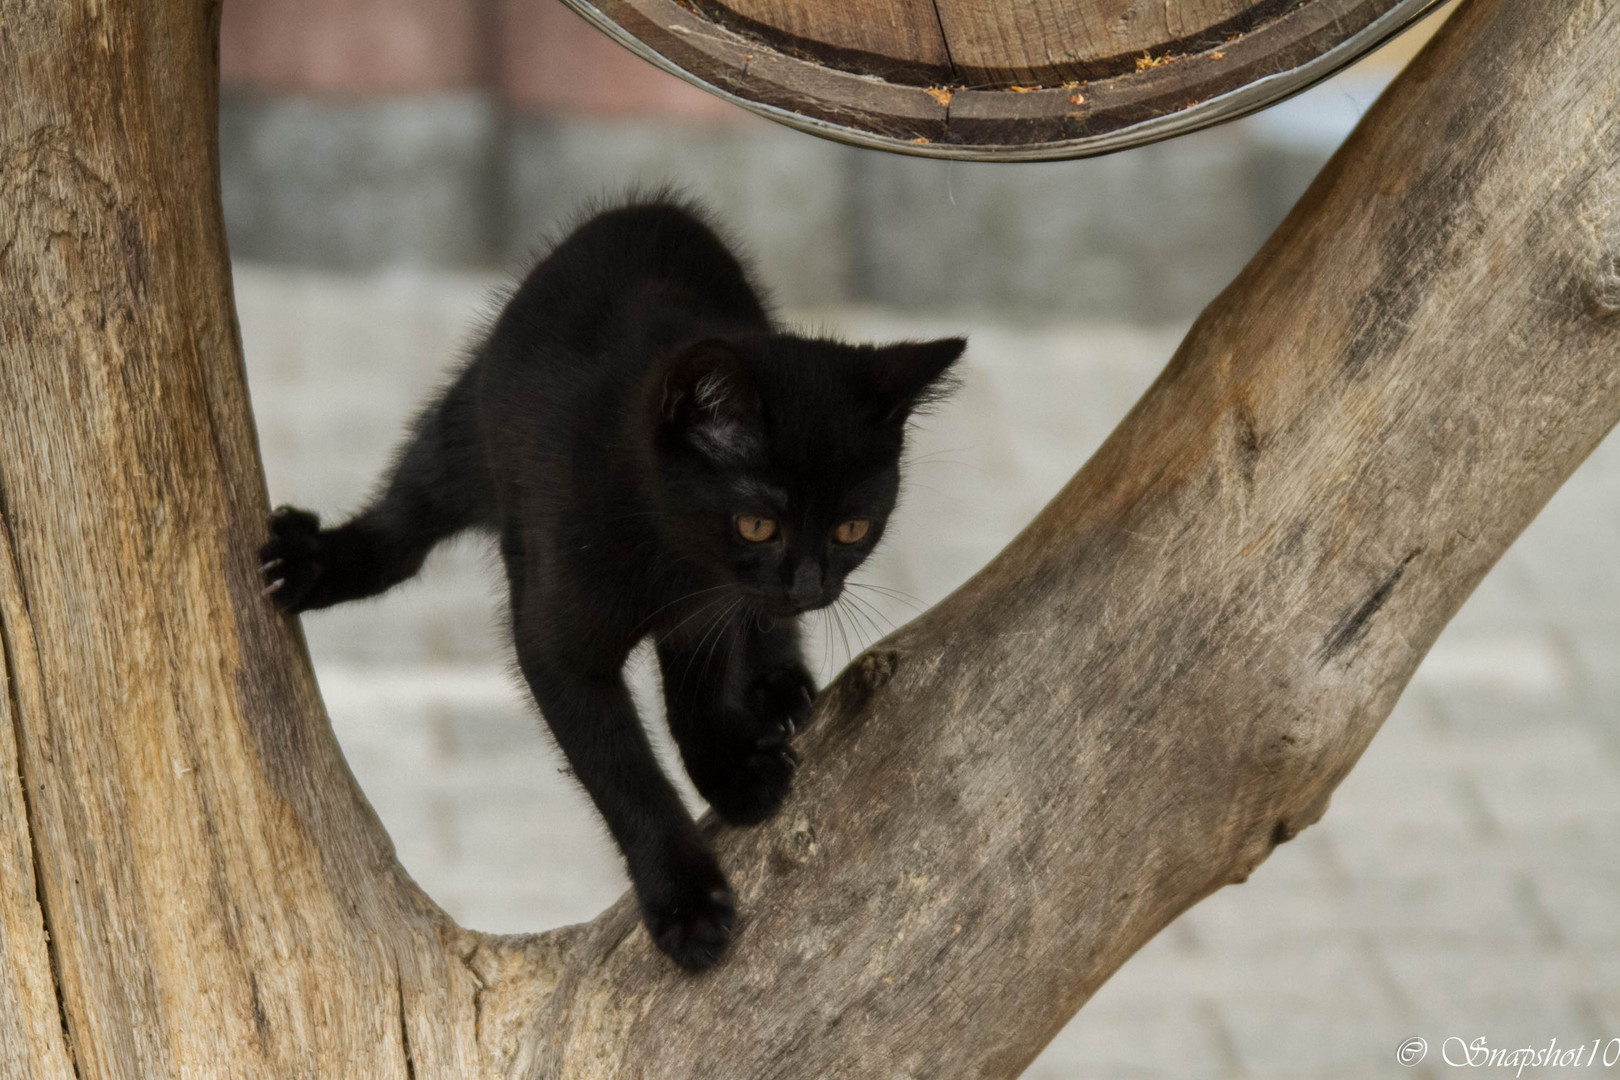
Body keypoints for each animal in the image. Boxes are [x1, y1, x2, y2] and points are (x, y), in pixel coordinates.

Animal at [257, 200, 952, 971]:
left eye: (853, 529)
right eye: (757, 525)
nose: (809, 584)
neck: (670, 553)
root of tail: (652, 205)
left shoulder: (709, 608)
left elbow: (701, 690)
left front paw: (730, 769)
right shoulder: (558, 643)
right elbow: (621, 771)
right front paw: (686, 901)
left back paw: (776, 682)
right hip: (467, 424)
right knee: (409, 514)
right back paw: (317, 562)